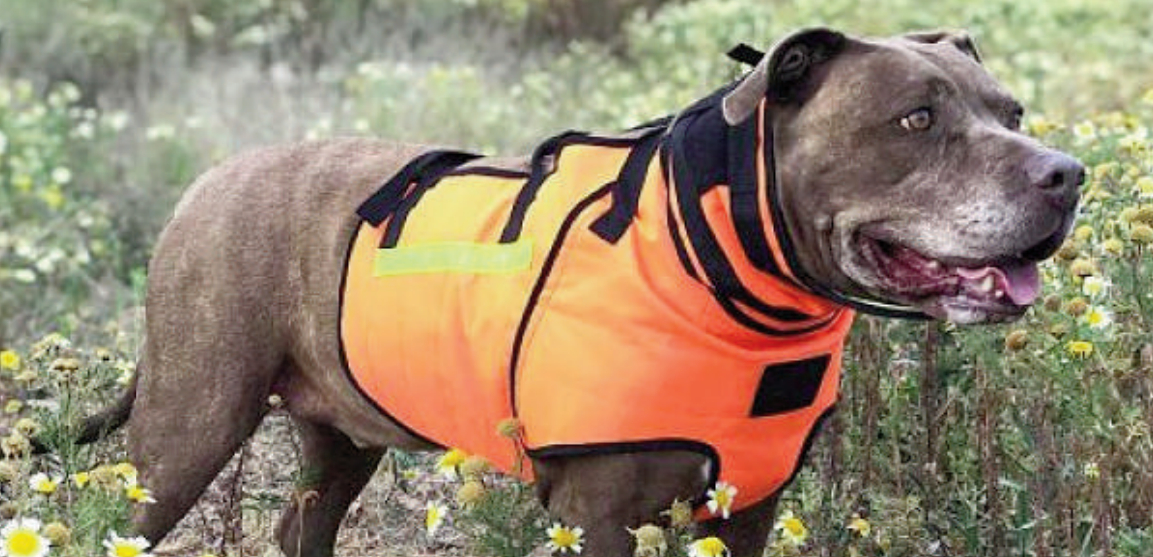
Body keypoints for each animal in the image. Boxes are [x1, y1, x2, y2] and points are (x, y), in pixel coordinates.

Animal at [72, 27, 1079, 557]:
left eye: (1012, 111)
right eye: (915, 120)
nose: (1066, 173)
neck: (719, 268)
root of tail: (208, 177)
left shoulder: (746, 509)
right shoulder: (599, 517)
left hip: (339, 436)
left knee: (302, 518)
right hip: (186, 431)